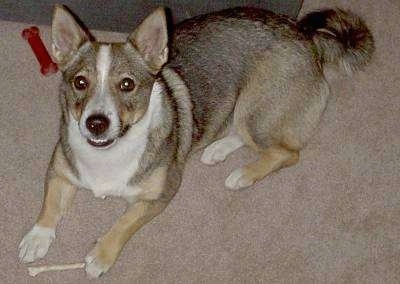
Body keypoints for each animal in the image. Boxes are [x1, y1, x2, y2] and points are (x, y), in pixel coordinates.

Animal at [19, 3, 376, 278]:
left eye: (127, 84)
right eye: (80, 82)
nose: (96, 123)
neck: (110, 152)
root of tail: (304, 33)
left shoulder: (161, 194)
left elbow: (125, 221)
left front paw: (101, 255)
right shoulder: (60, 170)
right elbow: (49, 203)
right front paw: (37, 237)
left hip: (254, 111)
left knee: (287, 151)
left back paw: (242, 175)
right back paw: (217, 150)